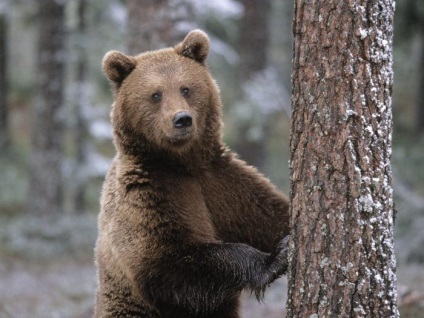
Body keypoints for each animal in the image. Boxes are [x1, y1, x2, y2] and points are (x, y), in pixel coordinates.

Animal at [94, 29, 290, 318]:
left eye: (185, 88)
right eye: (156, 94)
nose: (182, 119)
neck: (181, 163)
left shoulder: (222, 183)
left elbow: (268, 213)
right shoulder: (148, 194)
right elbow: (169, 262)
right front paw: (274, 259)